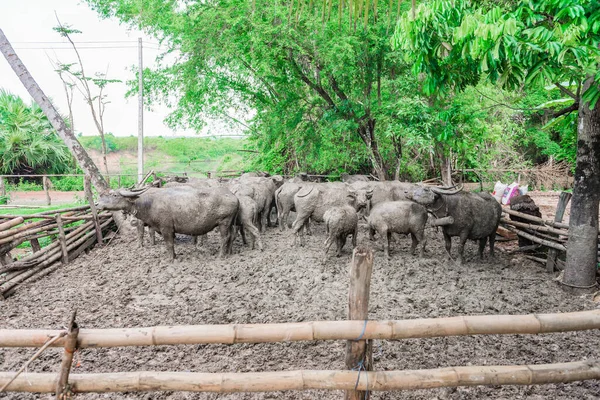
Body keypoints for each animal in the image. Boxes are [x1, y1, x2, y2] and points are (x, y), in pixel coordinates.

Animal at [98, 187, 239, 260]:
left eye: (115, 195)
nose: (98, 203)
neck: (150, 203)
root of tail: (234, 197)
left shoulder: (166, 229)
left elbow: (169, 244)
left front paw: (171, 258)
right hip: (231, 223)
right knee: (232, 236)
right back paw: (229, 252)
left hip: (224, 222)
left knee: (225, 237)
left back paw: (221, 255)